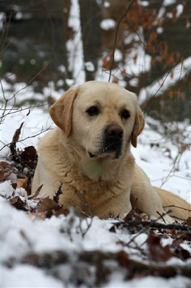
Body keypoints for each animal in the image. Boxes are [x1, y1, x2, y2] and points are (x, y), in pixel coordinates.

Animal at [32, 80, 190, 220]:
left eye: (125, 114)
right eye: (92, 110)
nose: (116, 132)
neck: (93, 178)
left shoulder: (119, 211)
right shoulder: (57, 197)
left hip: (146, 197)